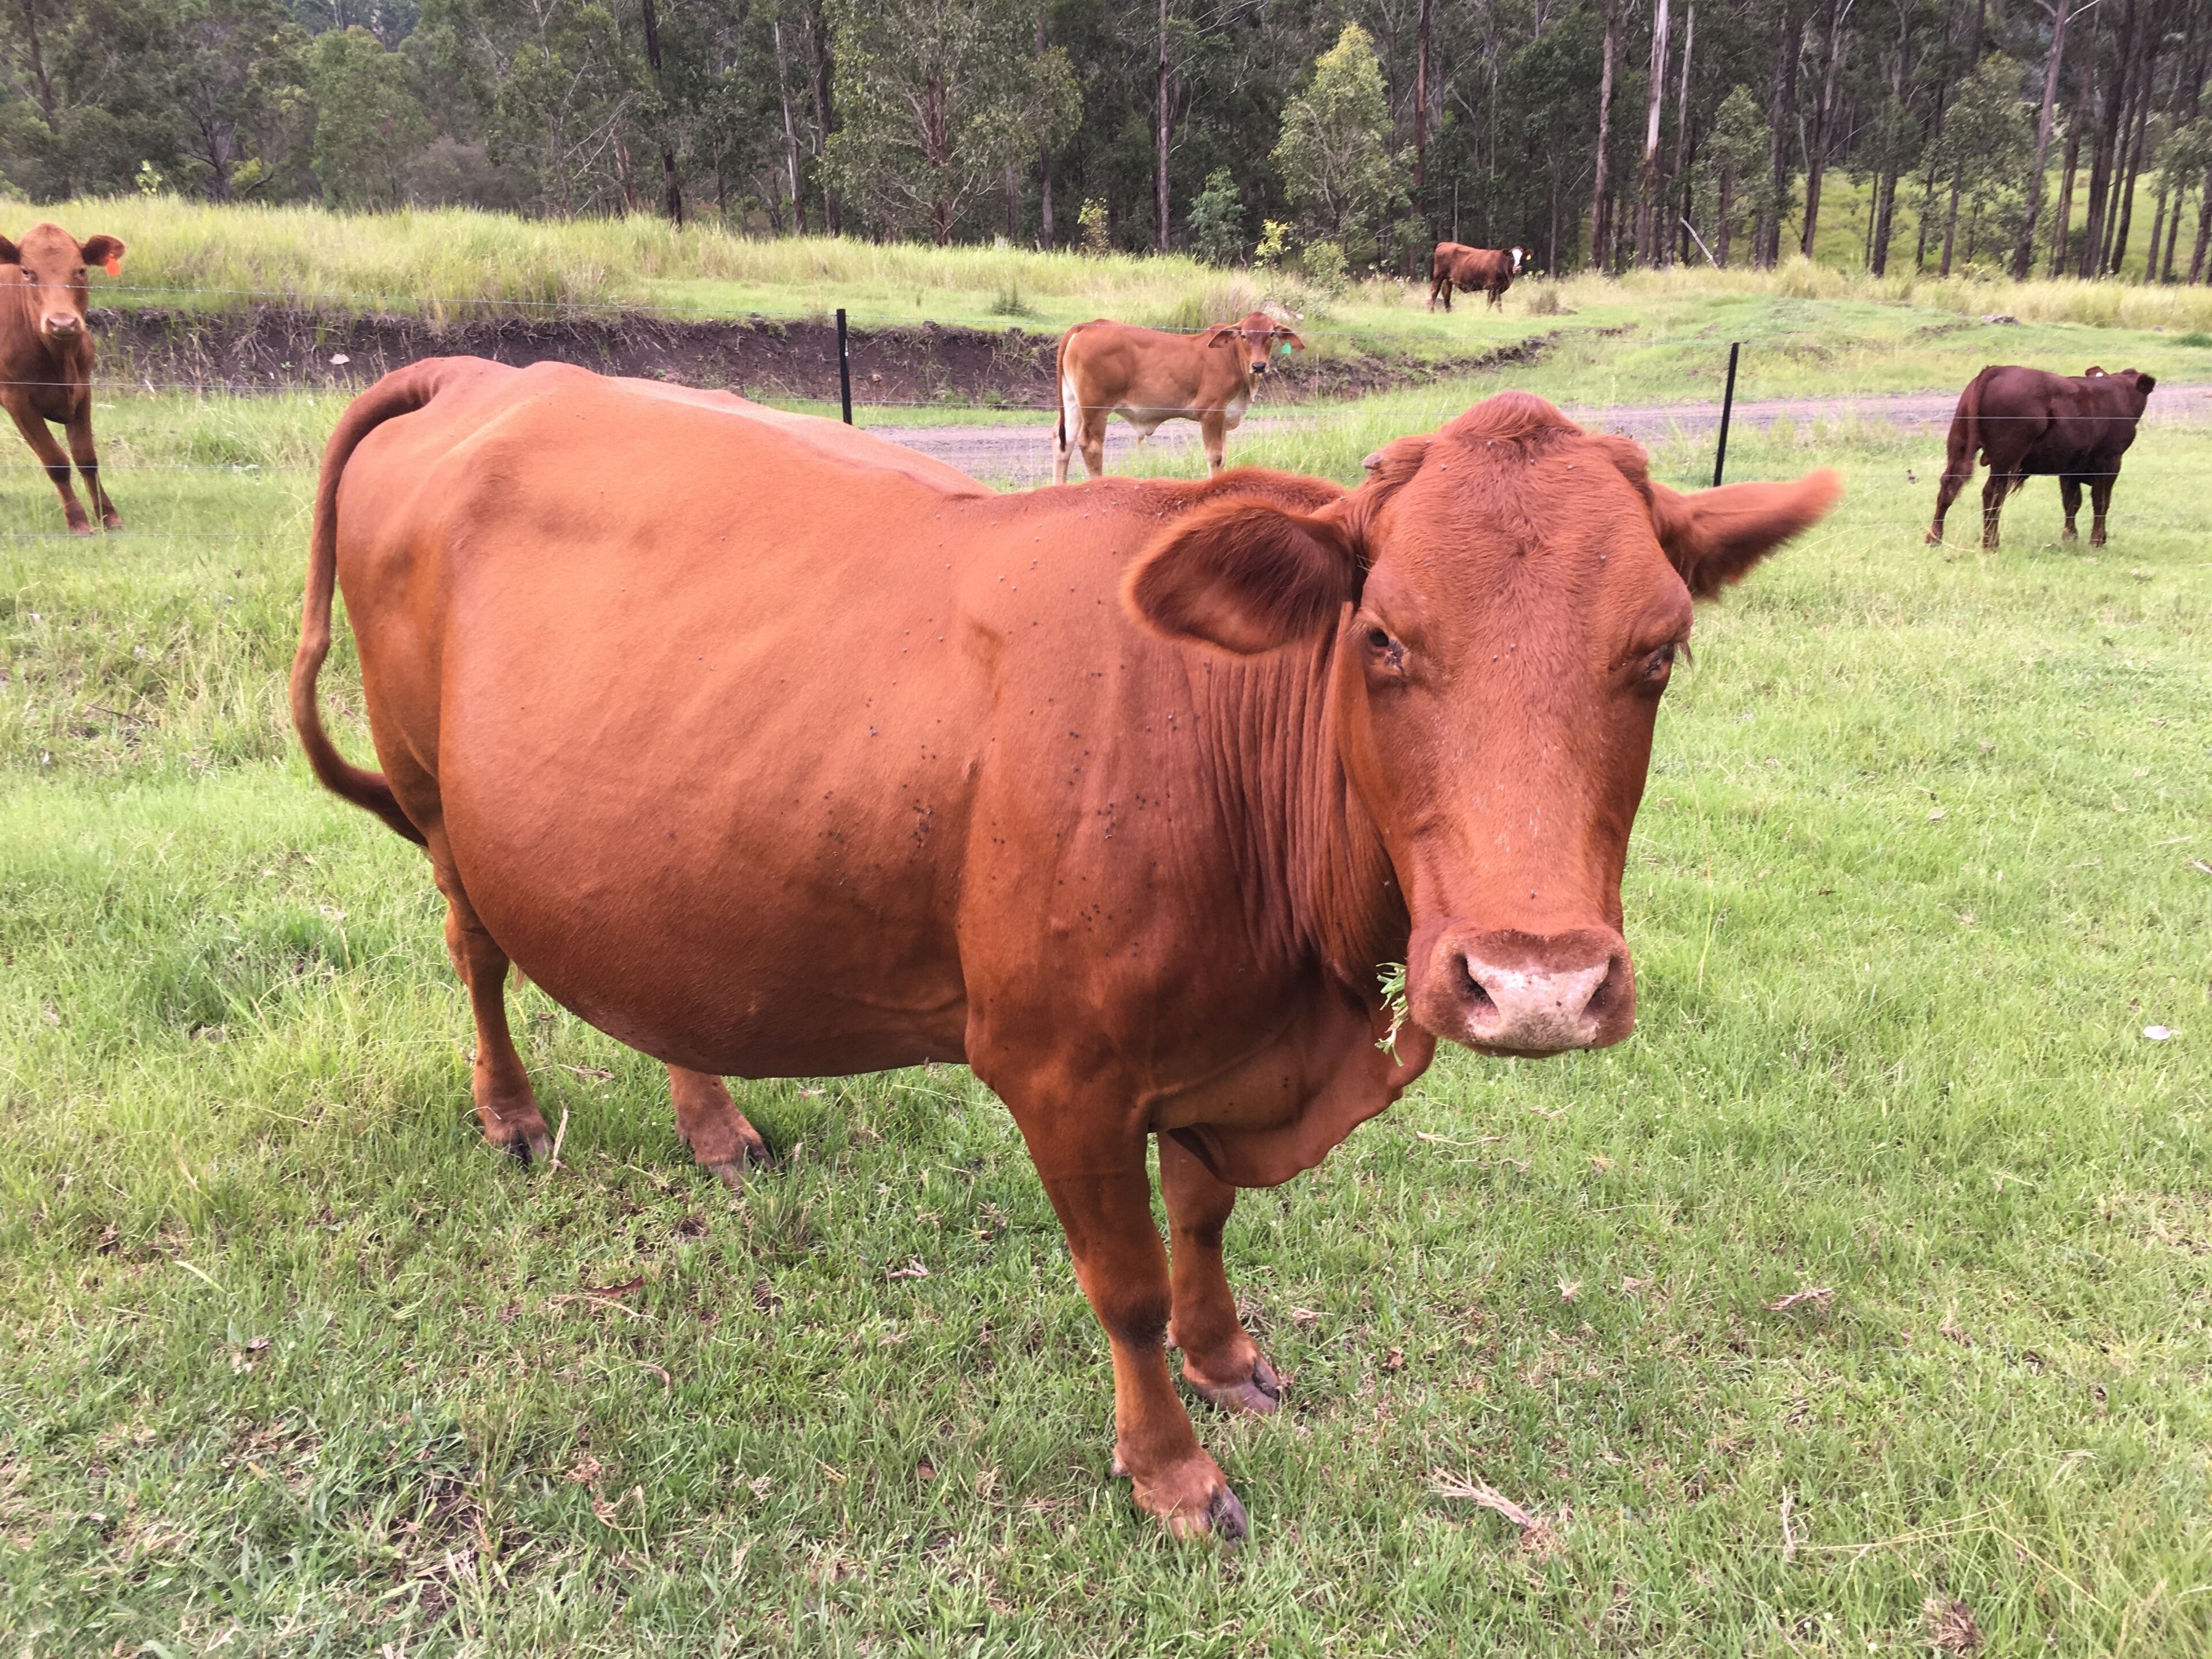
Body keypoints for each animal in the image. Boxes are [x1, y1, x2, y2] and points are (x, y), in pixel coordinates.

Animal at [1, 222, 127, 534]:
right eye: (27, 272)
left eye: (80, 270)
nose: (63, 323)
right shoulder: (15, 398)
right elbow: (55, 460)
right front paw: (79, 521)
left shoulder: (82, 391)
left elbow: (86, 457)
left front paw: (109, 516)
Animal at [292, 358, 1839, 1540]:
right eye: (1384, 639)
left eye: (1658, 651)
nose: (1536, 985)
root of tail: (487, 371)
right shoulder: (1061, 1071)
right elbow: (1129, 1285)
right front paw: (1171, 1473)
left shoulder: (1220, 1051)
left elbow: (1202, 1217)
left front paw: (1232, 1358)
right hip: (437, 801)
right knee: (476, 955)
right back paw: (509, 1113)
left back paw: (715, 1123)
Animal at [1052, 311, 1303, 484]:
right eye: (1243, 335)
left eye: (1271, 334)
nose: (1259, 365)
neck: (1232, 358)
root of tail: (1086, 327)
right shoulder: (1211, 413)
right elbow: (1215, 456)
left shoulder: (1223, 417)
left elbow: (1223, 456)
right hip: (1095, 407)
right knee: (1091, 445)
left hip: (1073, 402)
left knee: (1063, 441)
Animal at [1429, 242, 1525, 311]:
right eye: (1512, 258)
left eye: (1522, 258)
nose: (1518, 268)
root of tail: (1443, 244)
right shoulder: (1495, 286)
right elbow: (1496, 302)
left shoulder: (1497, 287)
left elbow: (1492, 301)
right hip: (1438, 276)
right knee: (1435, 291)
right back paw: (1432, 311)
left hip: (1448, 279)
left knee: (1446, 294)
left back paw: (1449, 312)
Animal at [1926, 364, 2155, 550]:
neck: (2120, 392)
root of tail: (1998, 369)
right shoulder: (2110, 460)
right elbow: (2101, 502)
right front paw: (2097, 540)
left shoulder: (2070, 467)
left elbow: (2072, 501)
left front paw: (2070, 537)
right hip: (2006, 456)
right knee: (1992, 493)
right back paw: (1990, 543)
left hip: (1959, 445)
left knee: (1949, 486)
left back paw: (1935, 538)